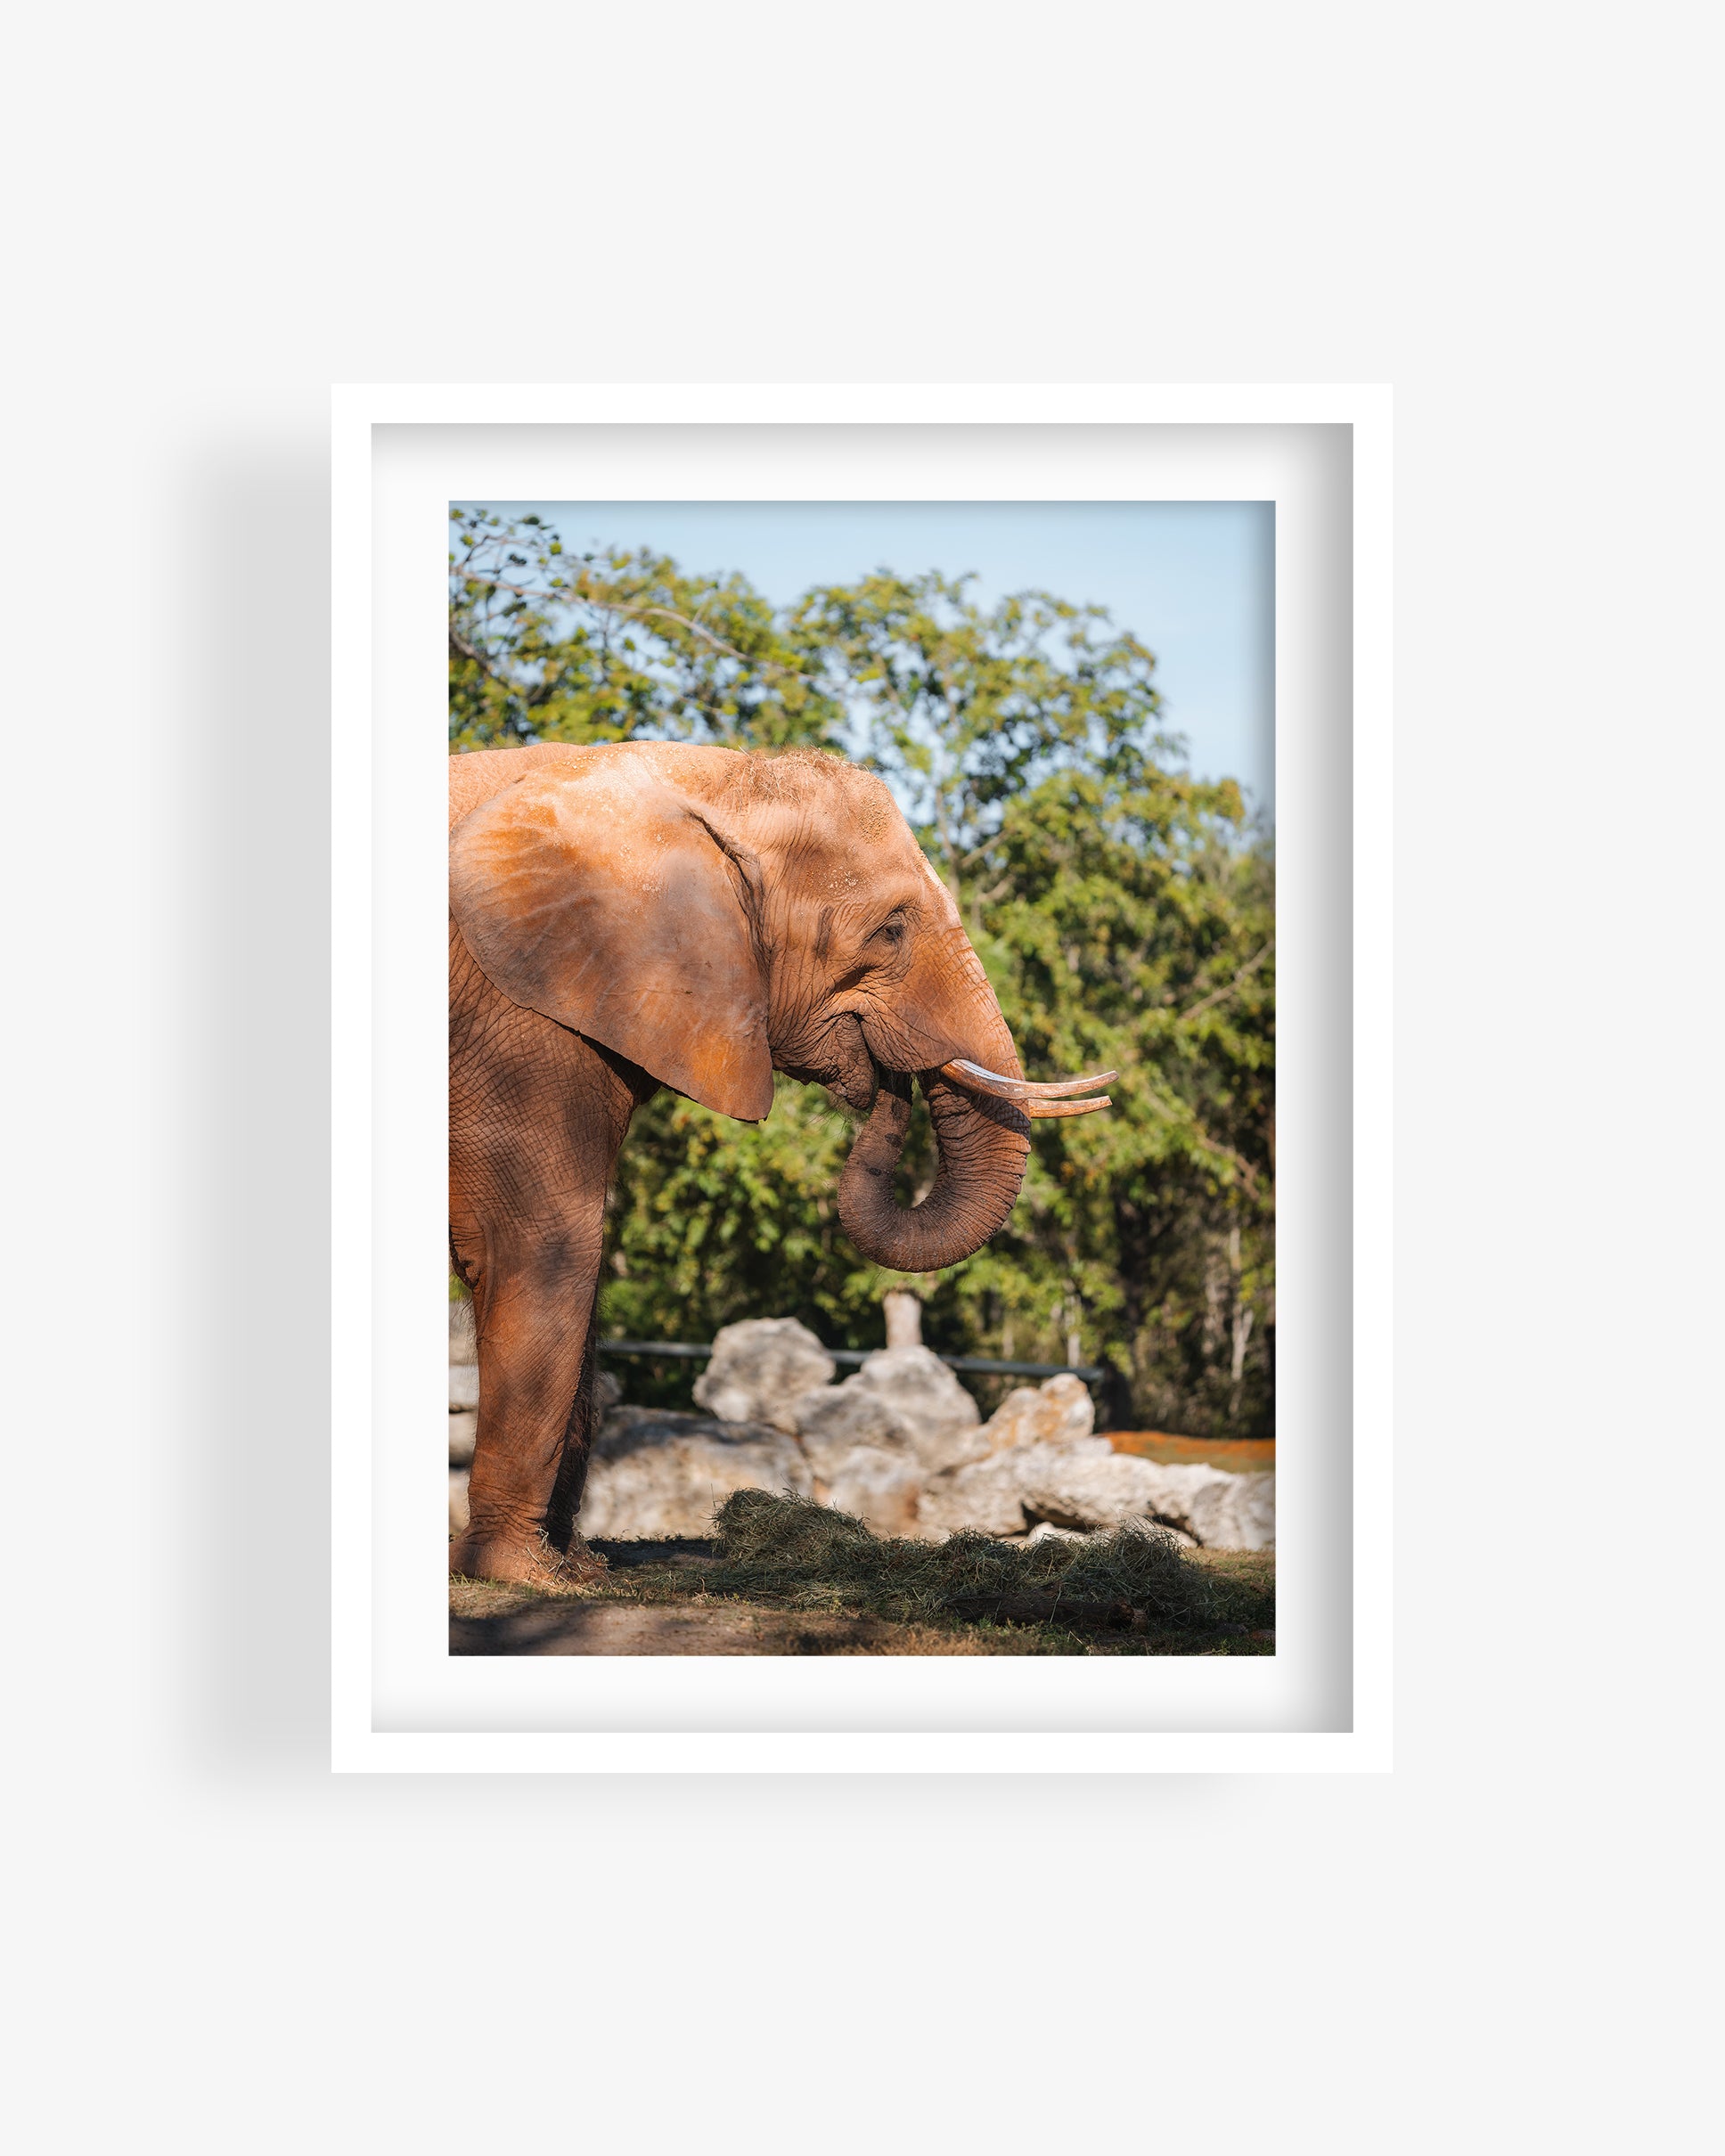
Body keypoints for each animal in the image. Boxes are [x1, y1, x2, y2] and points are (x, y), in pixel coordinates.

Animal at [447, 740, 1112, 1585]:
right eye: (891, 930)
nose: (890, 1081)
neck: (700, 773)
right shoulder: (516, 1013)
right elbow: (543, 1242)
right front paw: (521, 1576)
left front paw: (580, 1570)